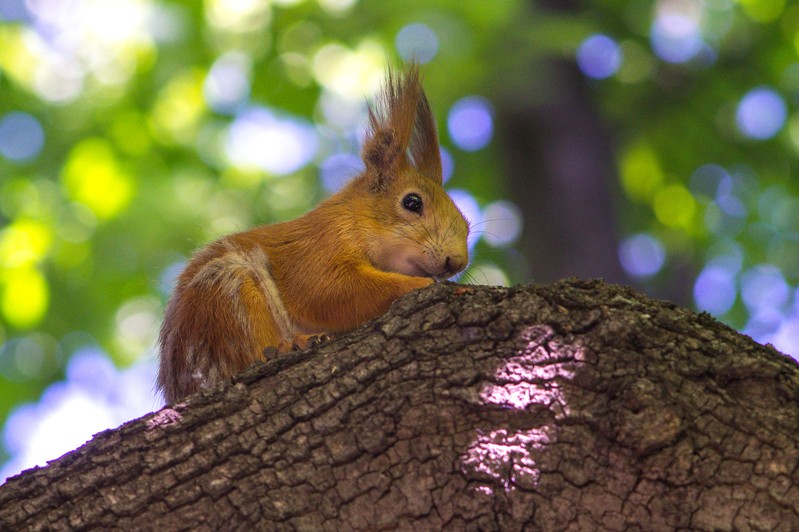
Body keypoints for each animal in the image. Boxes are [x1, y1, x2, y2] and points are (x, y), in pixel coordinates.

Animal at [156, 63, 468, 404]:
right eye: (412, 202)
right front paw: (425, 286)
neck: (355, 222)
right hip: (224, 294)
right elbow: (327, 291)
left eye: (467, 226)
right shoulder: (317, 249)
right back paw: (290, 345)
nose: (457, 262)